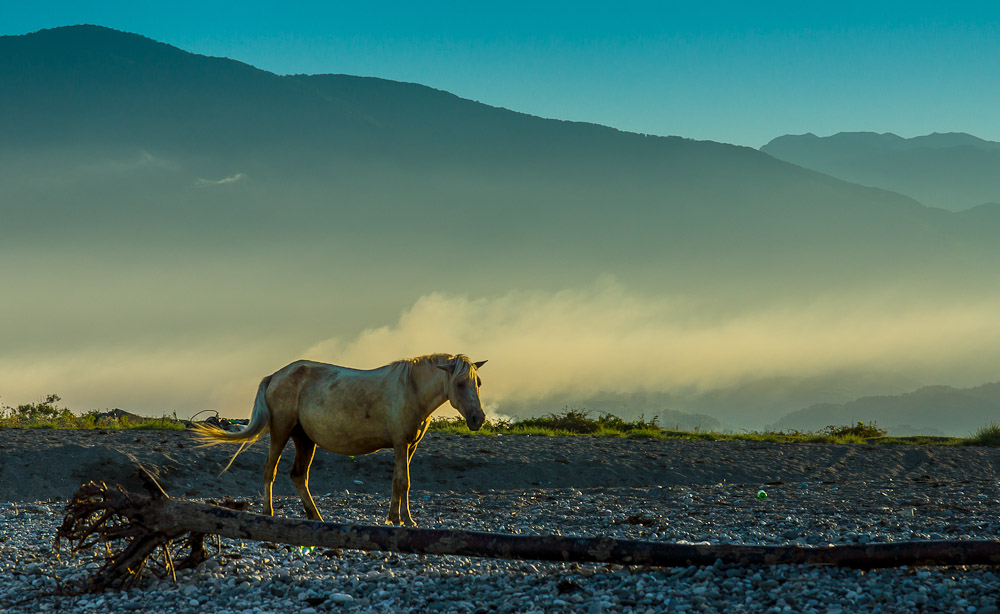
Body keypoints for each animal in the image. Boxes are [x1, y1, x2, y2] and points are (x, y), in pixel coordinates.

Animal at [193, 354, 486, 528]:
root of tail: (275, 375)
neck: (410, 389)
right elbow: (403, 482)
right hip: (281, 431)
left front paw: (400, 518)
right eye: (459, 384)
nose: (477, 419)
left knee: (298, 475)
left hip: (304, 440)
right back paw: (269, 513)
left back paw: (315, 516)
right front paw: (402, 520)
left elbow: (401, 483)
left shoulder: (409, 447)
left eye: (478, 383)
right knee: (270, 470)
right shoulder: (401, 444)